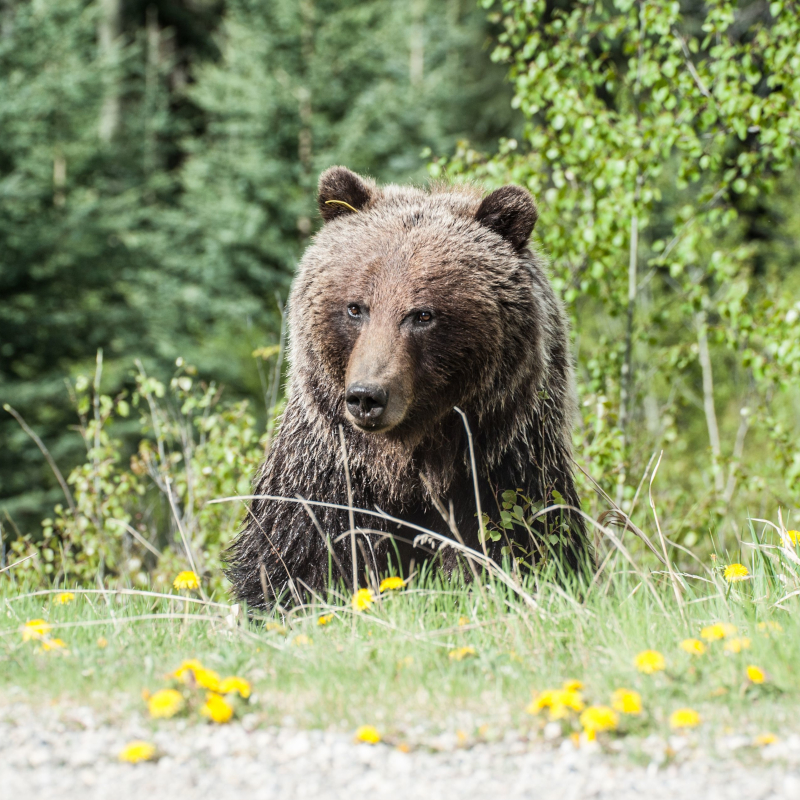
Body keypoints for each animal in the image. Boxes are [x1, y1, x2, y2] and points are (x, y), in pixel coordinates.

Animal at [225, 166, 588, 608]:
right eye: (355, 307)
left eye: (422, 315)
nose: (367, 396)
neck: (407, 464)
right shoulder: (328, 475)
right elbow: (297, 560)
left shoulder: (502, 470)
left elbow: (523, 545)